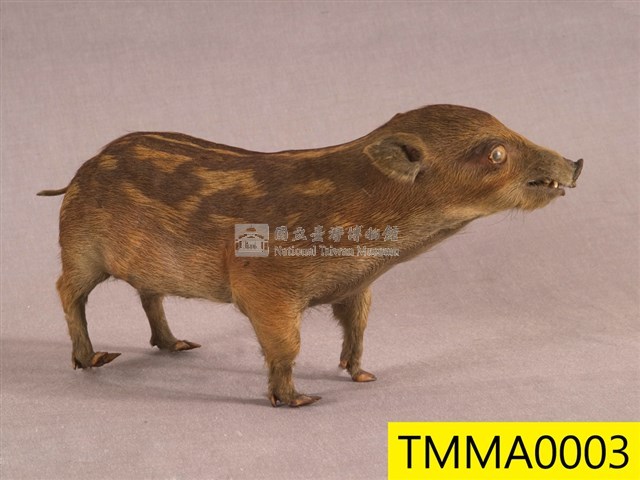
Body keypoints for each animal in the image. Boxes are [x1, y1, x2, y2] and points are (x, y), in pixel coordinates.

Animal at [38, 104, 583, 407]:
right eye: (495, 153)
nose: (576, 162)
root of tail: (78, 174)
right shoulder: (264, 287)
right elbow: (287, 347)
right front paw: (301, 400)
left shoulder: (358, 285)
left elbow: (358, 328)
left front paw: (363, 376)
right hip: (79, 248)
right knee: (67, 291)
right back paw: (94, 360)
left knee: (148, 296)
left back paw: (180, 346)